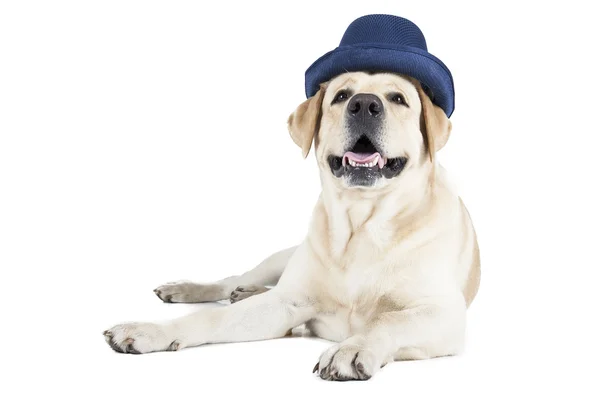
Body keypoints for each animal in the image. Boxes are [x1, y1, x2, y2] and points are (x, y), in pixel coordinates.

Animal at [103, 71, 478, 382]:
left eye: (398, 98)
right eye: (341, 96)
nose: (364, 105)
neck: (362, 225)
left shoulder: (443, 313)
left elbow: (389, 319)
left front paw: (351, 347)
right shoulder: (288, 304)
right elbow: (211, 318)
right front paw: (150, 330)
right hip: (278, 259)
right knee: (232, 281)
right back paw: (190, 288)